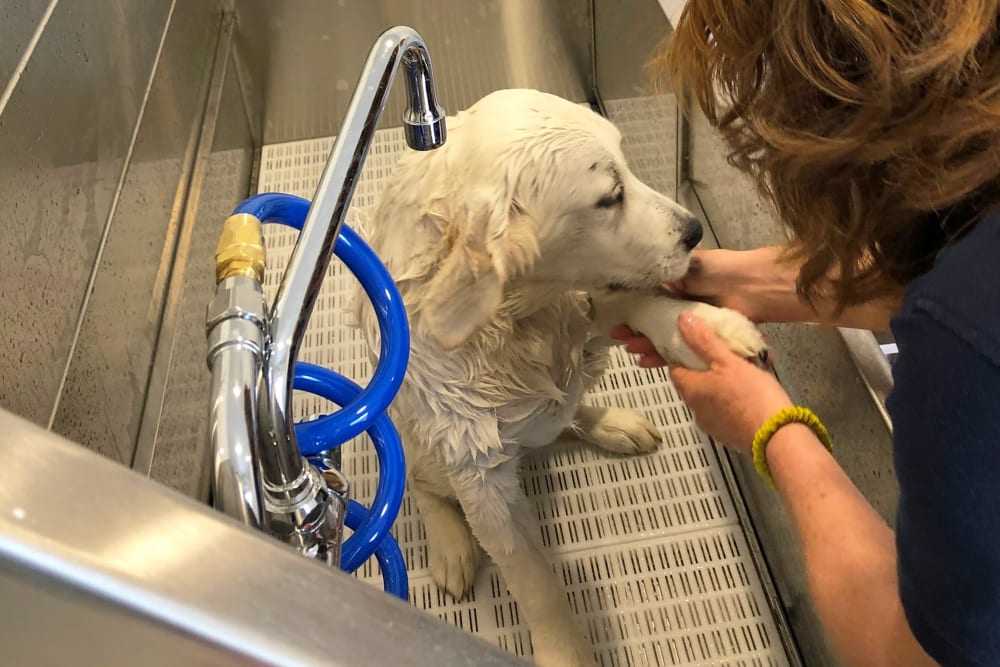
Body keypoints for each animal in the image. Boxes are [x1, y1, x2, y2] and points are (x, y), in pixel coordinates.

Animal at [358, 90, 764, 667]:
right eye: (610, 197)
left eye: (628, 166)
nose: (693, 231)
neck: (517, 319)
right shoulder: (481, 477)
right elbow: (536, 585)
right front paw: (565, 649)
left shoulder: (589, 303)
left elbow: (643, 303)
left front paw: (708, 328)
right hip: (427, 450)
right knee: (421, 483)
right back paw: (451, 546)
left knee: (565, 411)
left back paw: (611, 423)